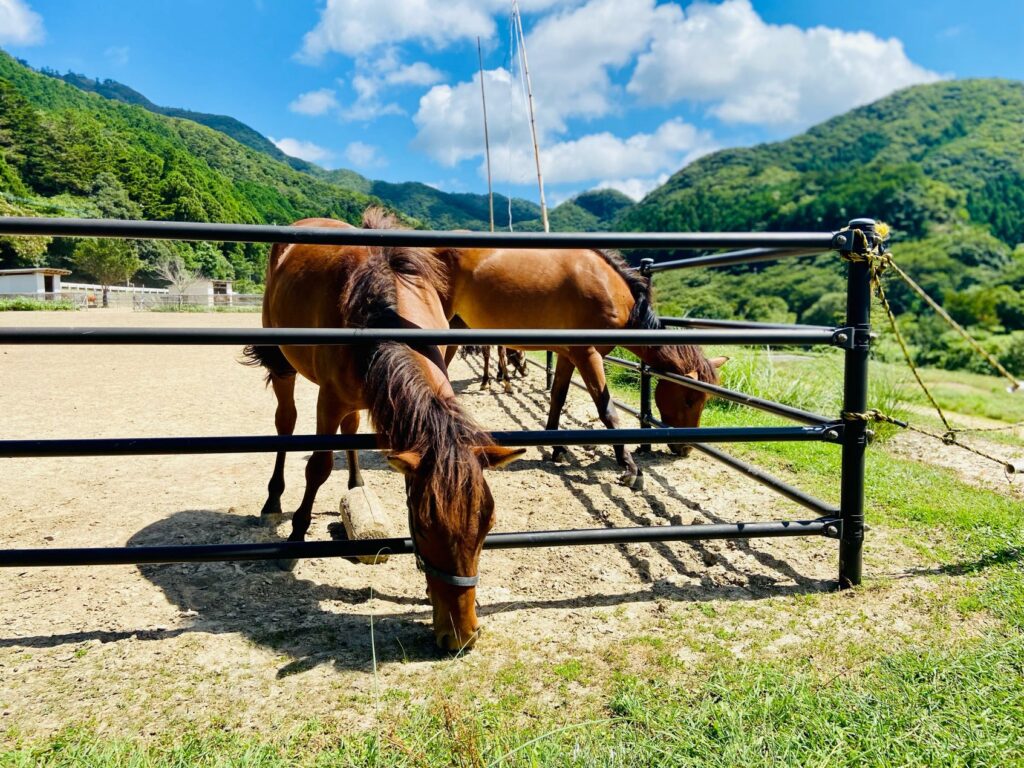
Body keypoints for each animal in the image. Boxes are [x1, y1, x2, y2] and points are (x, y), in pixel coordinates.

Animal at [243, 208, 524, 651]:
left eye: (488, 525)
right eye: (424, 529)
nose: (461, 636)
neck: (385, 312)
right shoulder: (329, 400)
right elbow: (318, 467)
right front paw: (296, 537)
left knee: (350, 429)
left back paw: (357, 485)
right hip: (283, 364)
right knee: (285, 423)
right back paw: (273, 502)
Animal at [436, 246, 724, 487]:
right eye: (689, 400)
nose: (686, 448)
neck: (607, 287)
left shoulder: (568, 356)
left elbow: (557, 398)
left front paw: (556, 448)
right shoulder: (587, 355)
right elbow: (607, 410)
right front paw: (629, 467)